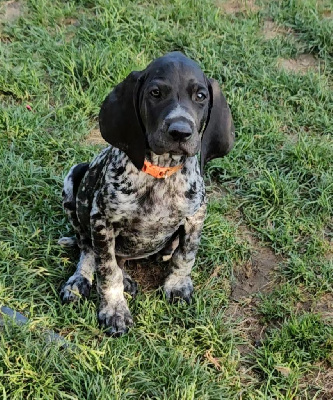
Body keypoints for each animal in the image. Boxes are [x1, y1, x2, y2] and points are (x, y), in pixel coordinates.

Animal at [60, 51, 236, 336]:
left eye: (200, 96)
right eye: (155, 93)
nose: (180, 132)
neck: (160, 173)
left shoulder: (197, 214)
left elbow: (186, 255)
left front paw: (177, 284)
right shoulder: (101, 220)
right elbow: (107, 269)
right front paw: (114, 309)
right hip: (73, 178)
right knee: (89, 249)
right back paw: (81, 280)